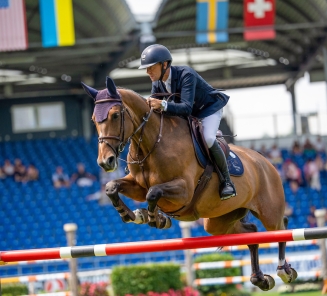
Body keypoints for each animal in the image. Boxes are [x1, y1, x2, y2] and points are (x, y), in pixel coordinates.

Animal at [82, 77, 300, 292]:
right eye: (93, 120)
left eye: (115, 115)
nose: (105, 161)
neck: (152, 142)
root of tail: (265, 161)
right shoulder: (137, 186)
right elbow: (112, 187)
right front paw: (134, 215)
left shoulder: (184, 191)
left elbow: (153, 192)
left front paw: (154, 218)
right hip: (218, 221)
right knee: (252, 232)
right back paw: (260, 279)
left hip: (268, 212)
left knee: (280, 227)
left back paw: (284, 270)